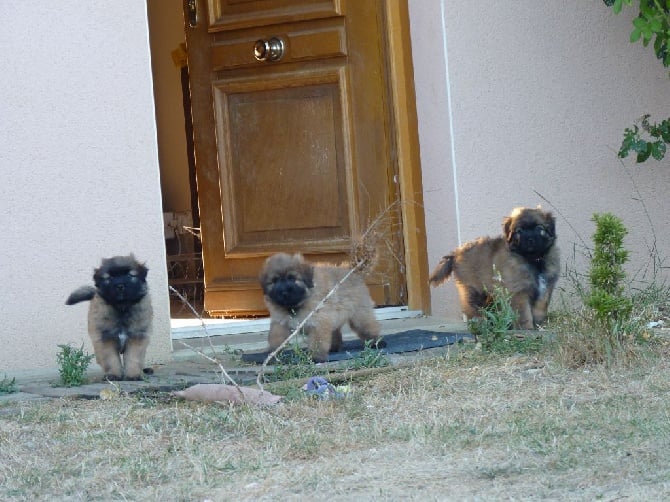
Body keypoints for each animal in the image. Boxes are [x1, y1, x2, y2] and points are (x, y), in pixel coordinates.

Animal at [430, 206, 560, 328]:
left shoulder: (546, 288)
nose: (530, 239)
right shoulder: (518, 291)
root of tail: (456, 252)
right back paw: (480, 323)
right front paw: (527, 328)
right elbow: (524, 314)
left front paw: (539, 325)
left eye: (539, 228)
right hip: (473, 289)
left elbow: (540, 309)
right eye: (519, 231)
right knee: (471, 307)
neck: (533, 260)